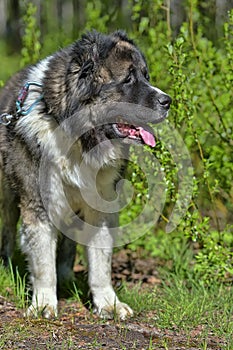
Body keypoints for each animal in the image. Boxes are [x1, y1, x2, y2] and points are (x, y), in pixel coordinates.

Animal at [0, 30, 171, 320]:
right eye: (128, 79)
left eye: (146, 76)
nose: (167, 101)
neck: (80, 139)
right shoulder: (38, 204)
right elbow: (43, 262)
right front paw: (44, 303)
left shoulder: (101, 207)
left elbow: (101, 262)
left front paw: (108, 303)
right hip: (8, 198)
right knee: (9, 231)